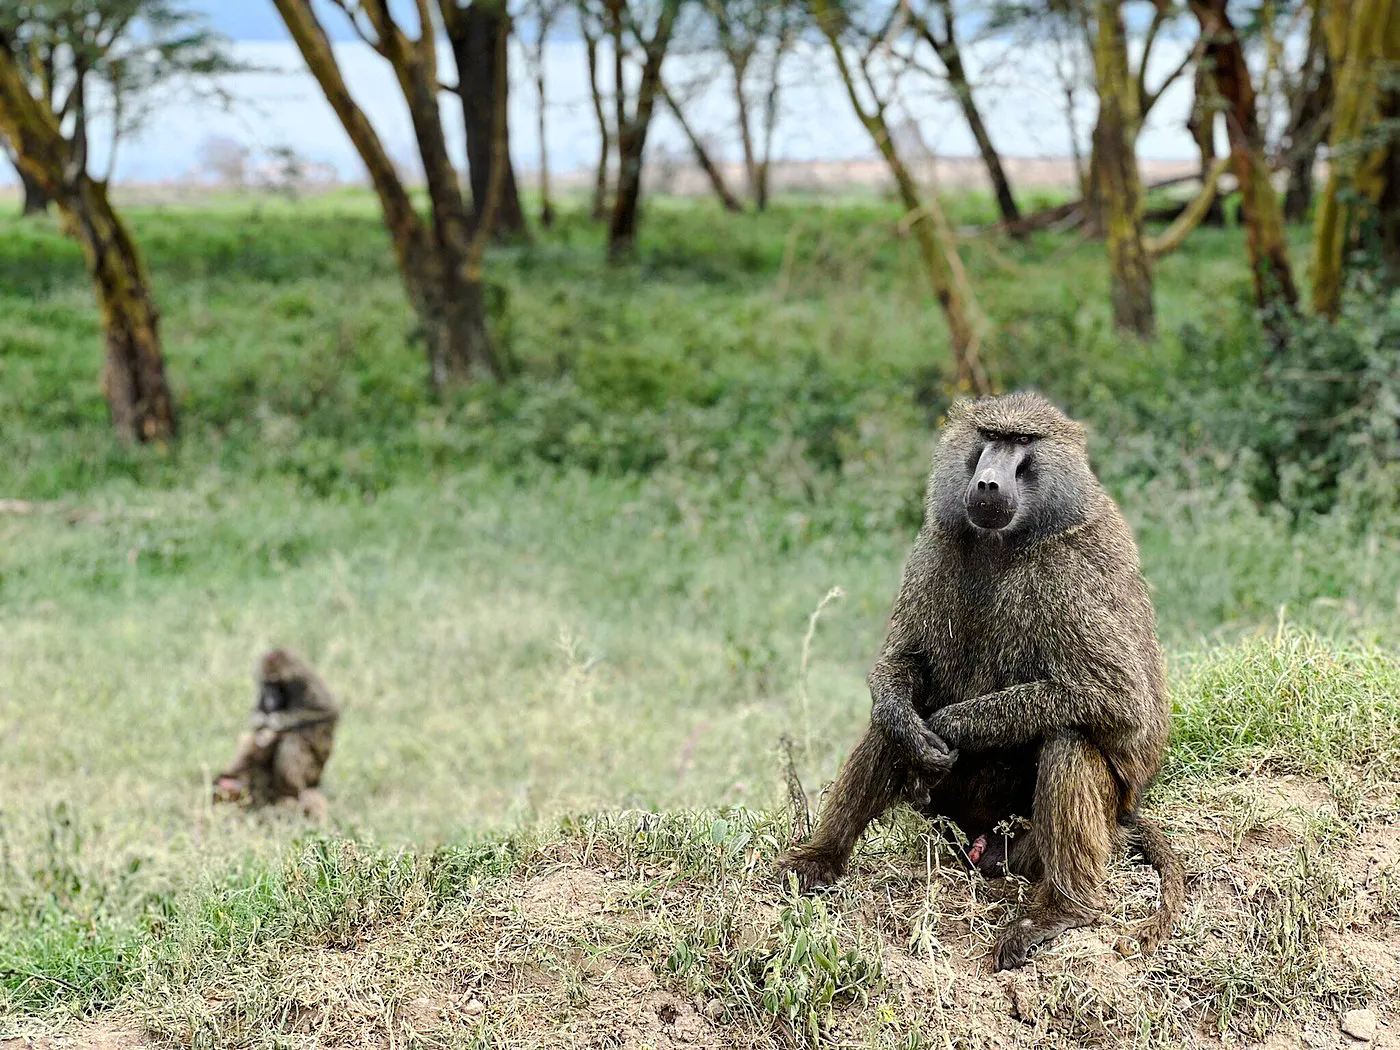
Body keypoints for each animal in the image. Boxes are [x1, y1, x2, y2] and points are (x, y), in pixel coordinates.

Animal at [212, 648, 341, 821]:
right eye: (266, 685)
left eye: (275, 684)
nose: (268, 697)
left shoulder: (304, 681)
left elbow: (328, 712)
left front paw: (275, 721)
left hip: (313, 773)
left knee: (292, 742)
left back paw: (292, 792)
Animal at [778, 392, 1184, 971]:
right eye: (990, 437)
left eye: (1021, 443)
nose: (988, 482)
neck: (1008, 539)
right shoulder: (933, 548)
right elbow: (902, 666)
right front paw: (914, 726)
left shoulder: (1065, 576)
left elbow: (1120, 700)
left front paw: (951, 725)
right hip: (943, 816)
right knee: (886, 725)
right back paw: (819, 858)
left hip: (1056, 824)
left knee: (1069, 738)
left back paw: (1060, 911)